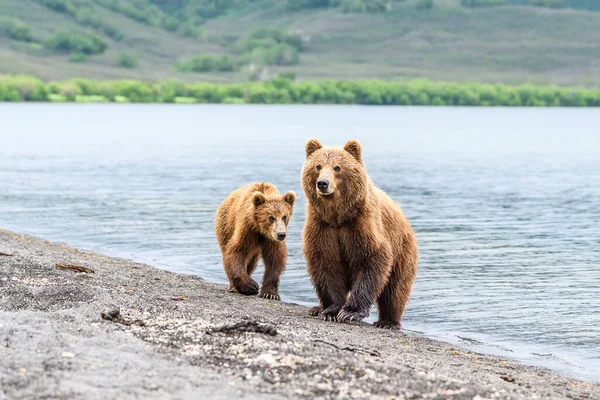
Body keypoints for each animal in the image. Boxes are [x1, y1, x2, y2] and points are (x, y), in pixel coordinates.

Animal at [302, 139, 414, 330]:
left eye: (337, 167)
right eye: (318, 166)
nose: (323, 183)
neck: (338, 216)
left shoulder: (361, 225)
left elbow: (372, 259)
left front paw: (350, 312)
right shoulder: (322, 227)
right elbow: (326, 264)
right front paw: (331, 311)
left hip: (402, 250)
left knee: (395, 289)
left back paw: (388, 321)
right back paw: (316, 308)